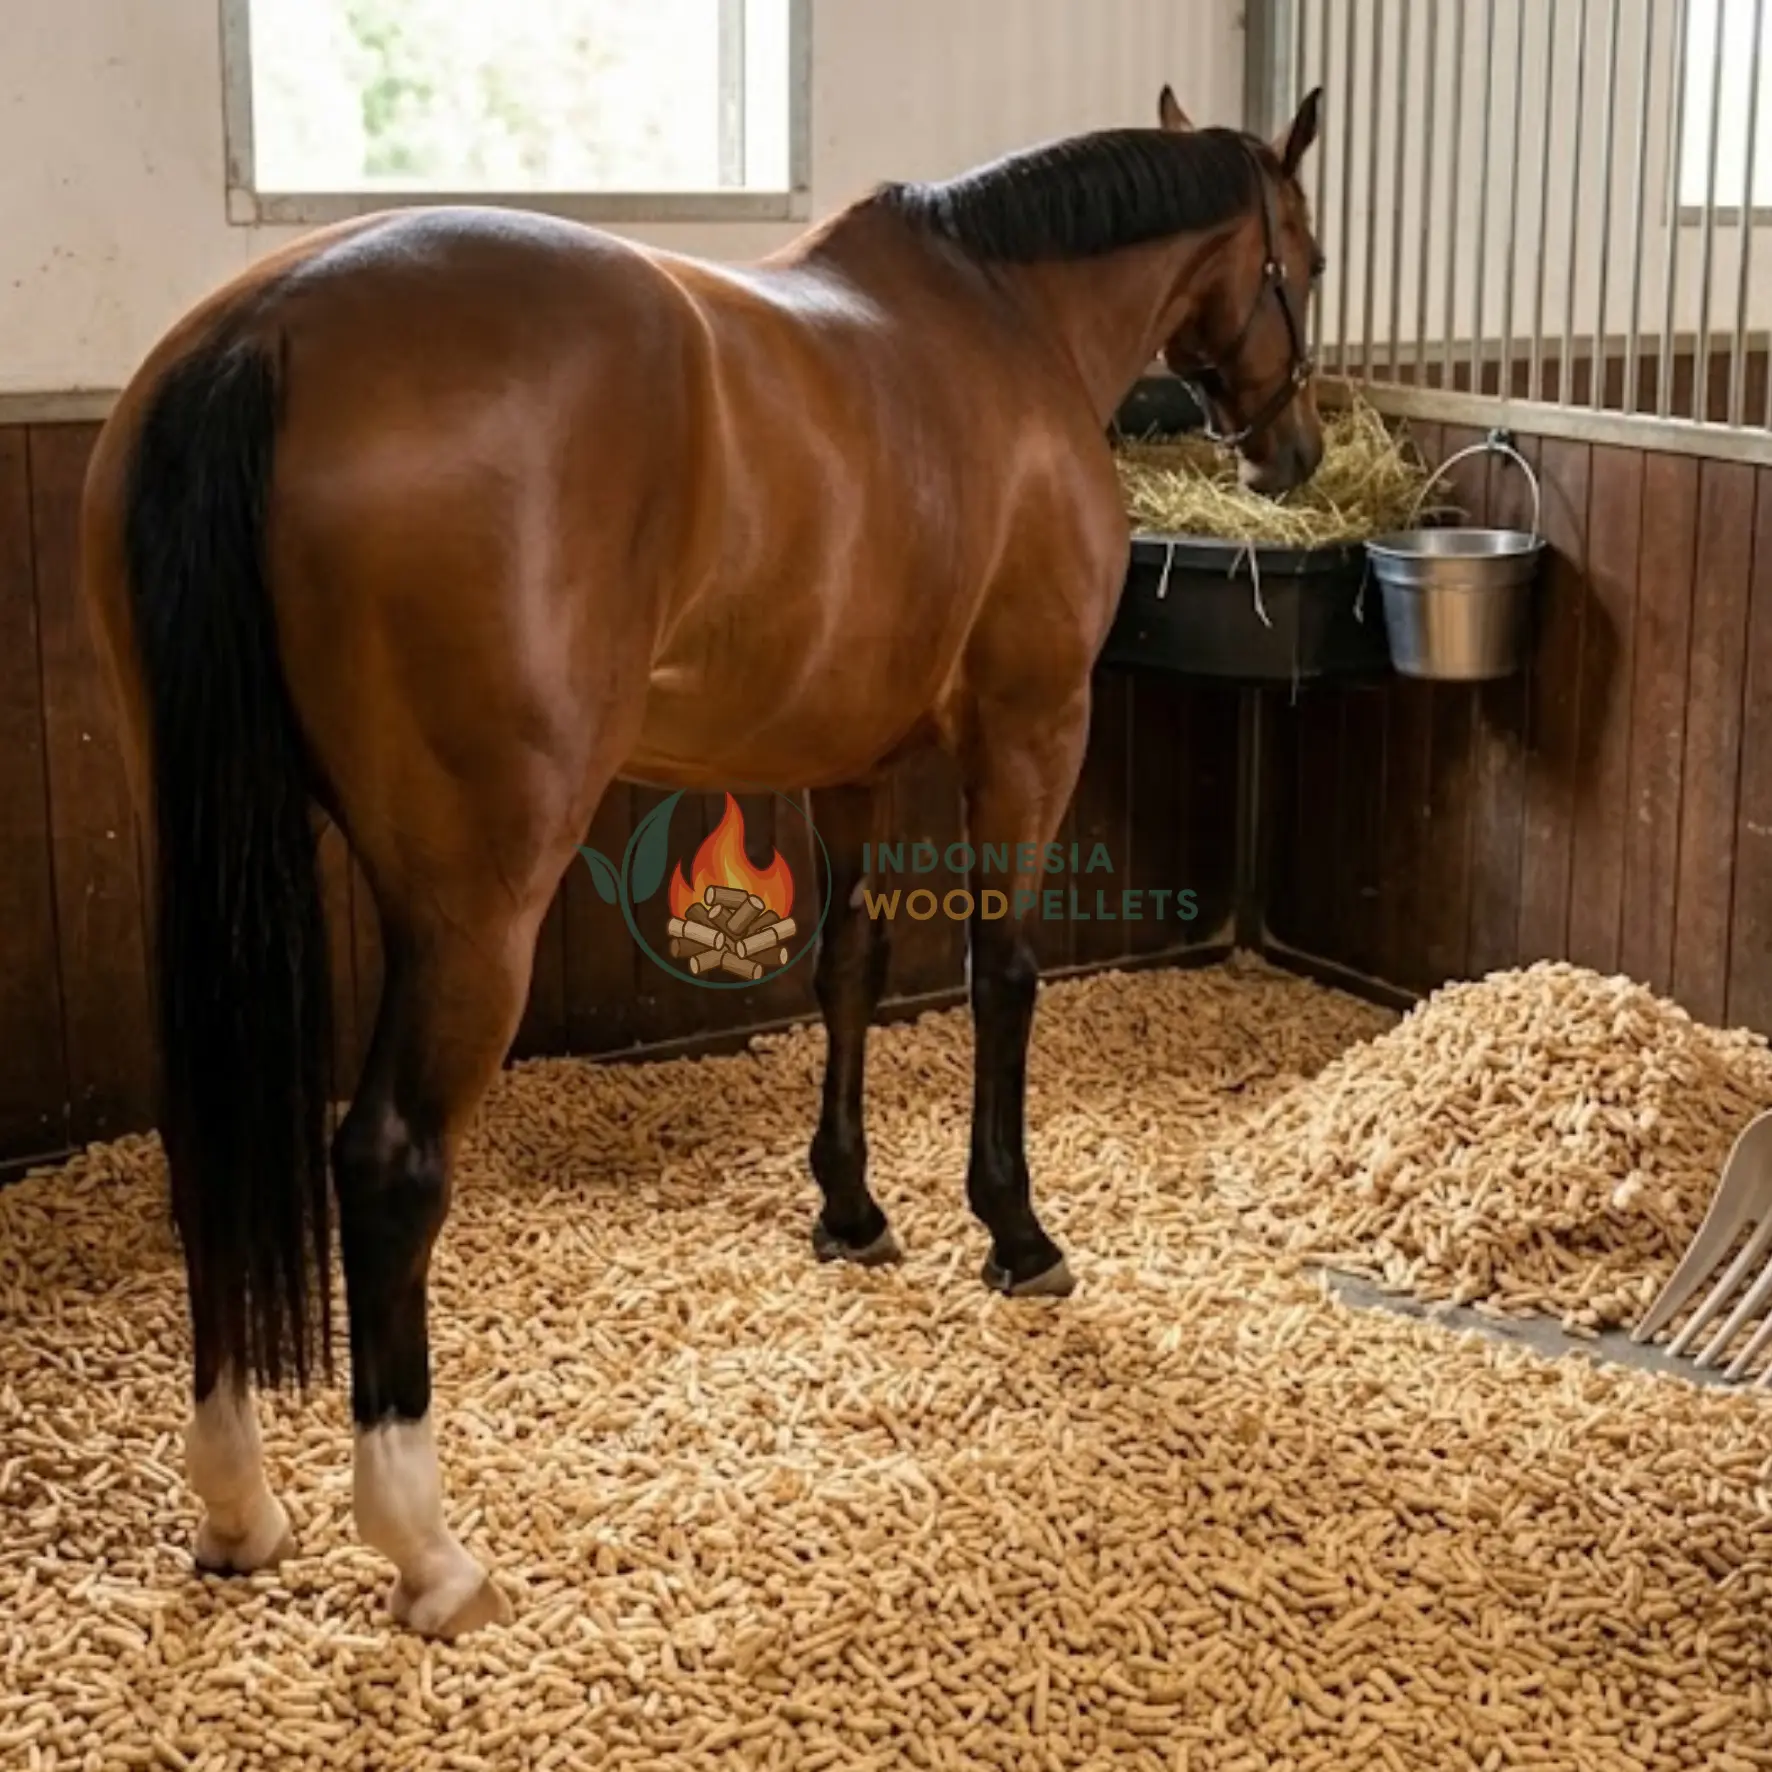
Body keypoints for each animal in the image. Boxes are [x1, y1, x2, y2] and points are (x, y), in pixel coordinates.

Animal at [80, 82, 1325, 1638]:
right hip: (473, 903)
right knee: (386, 1161)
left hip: (215, 858)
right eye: (1306, 258)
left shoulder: (855, 760)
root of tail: (269, 328)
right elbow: (1004, 974)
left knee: (211, 1136)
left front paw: (850, 1207)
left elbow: (849, 968)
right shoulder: (1030, 729)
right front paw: (1015, 1228)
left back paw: (238, 1504)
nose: (1296, 450)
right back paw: (425, 1548)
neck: (1004, 323)